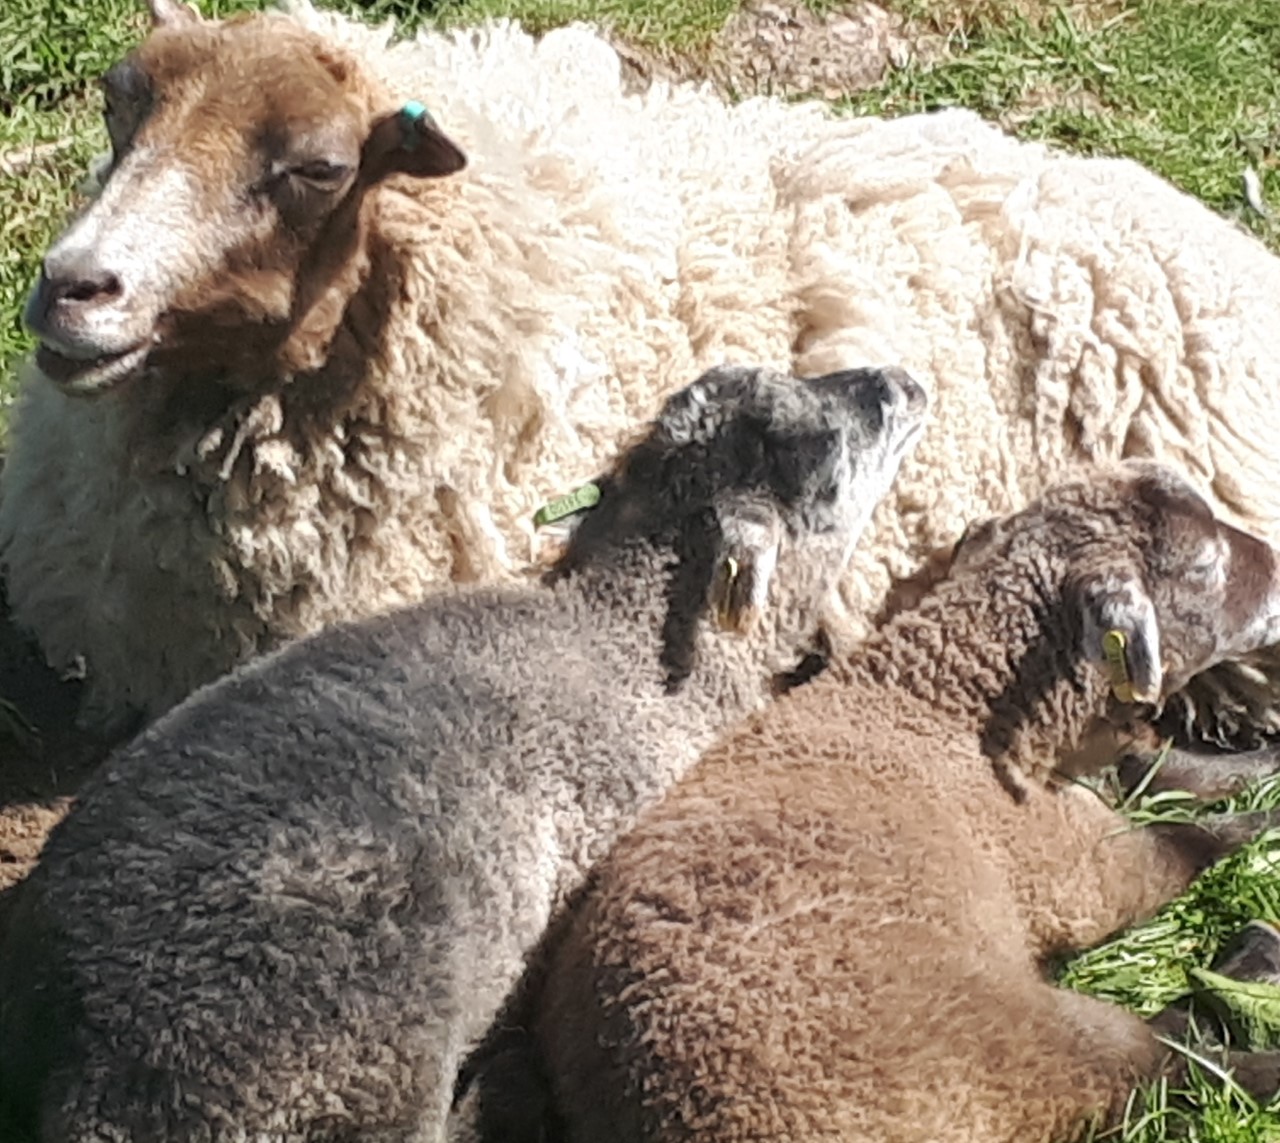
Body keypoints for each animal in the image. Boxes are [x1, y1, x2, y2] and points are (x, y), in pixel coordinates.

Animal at [506, 459, 1280, 1143]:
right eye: (1205, 565)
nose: (1275, 562)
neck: (941, 699)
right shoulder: (1082, 866)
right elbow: (1193, 840)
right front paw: (1260, 826)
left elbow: (1186, 773)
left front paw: (1262, 765)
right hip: (1021, 1052)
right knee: (1180, 1073)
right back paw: (1255, 973)